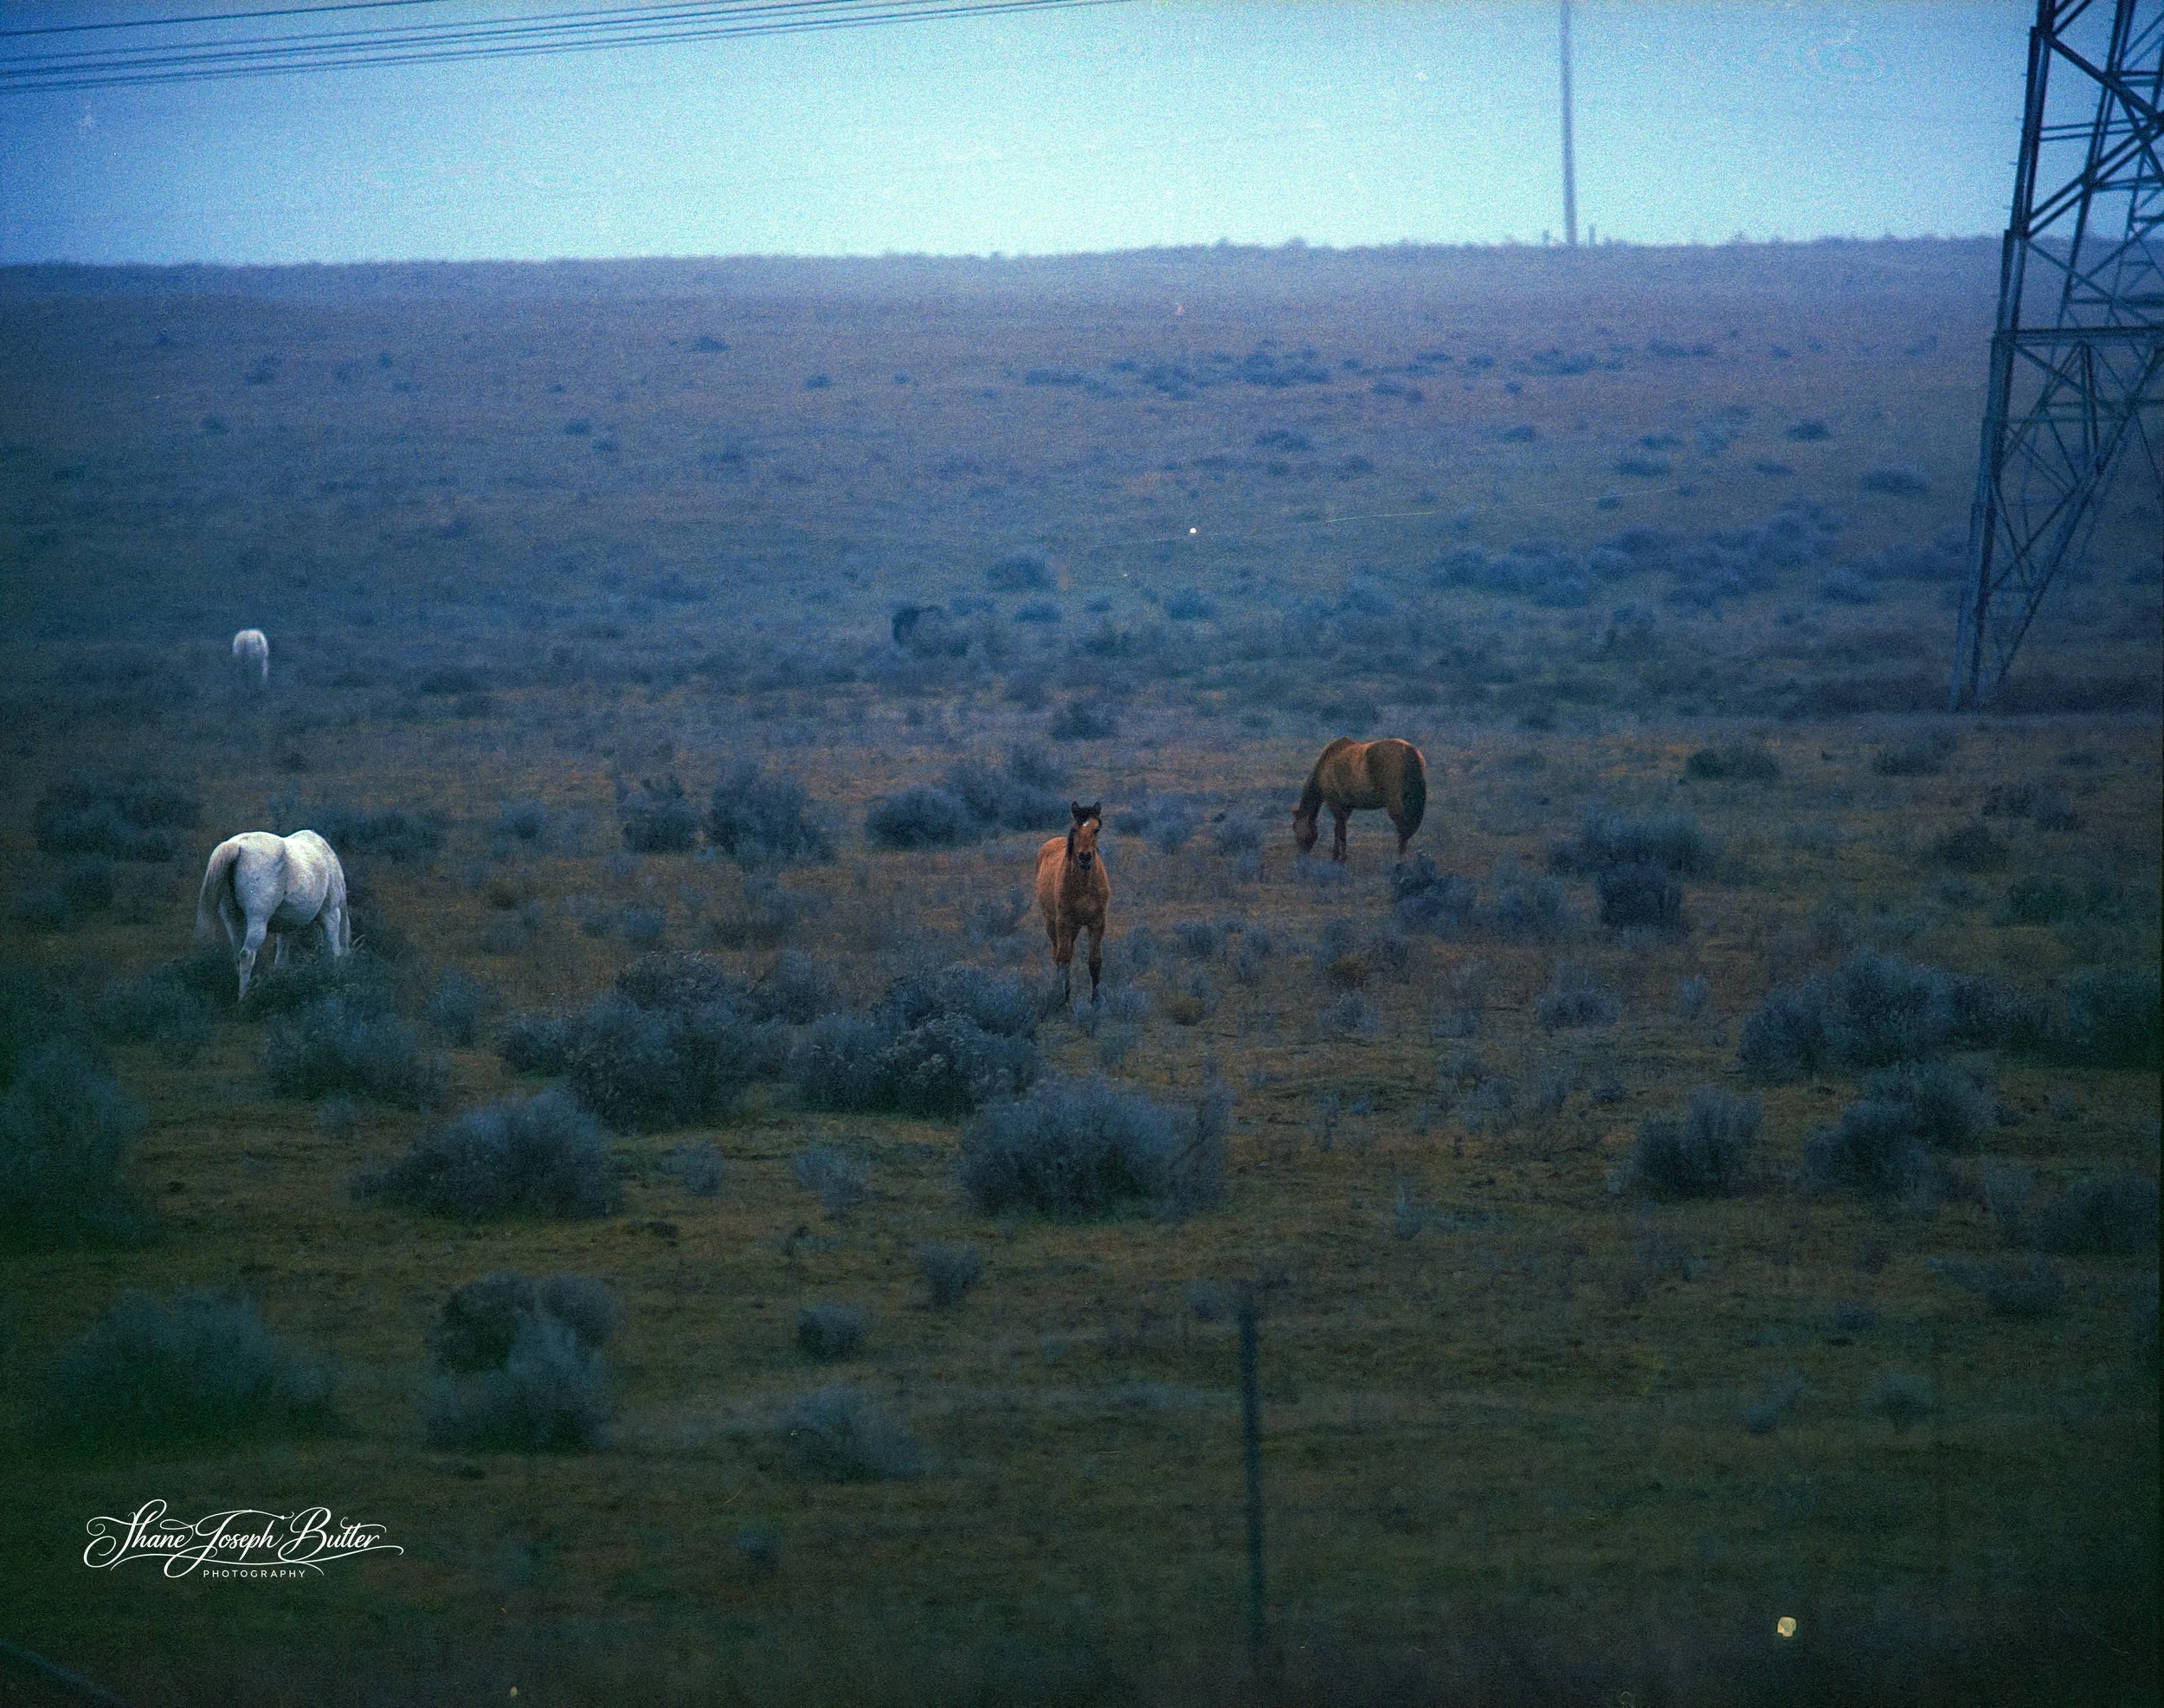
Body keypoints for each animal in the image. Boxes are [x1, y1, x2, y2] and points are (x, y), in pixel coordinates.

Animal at [195, 830, 350, 1001]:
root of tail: (236, 845)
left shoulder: (286, 928)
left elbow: (281, 958)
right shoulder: (331, 913)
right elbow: (335, 947)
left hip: (232, 919)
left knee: (237, 955)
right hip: (258, 919)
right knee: (247, 955)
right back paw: (243, 998)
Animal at [1036, 801, 1110, 1005]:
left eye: (1096, 829)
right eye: (1075, 829)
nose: (1085, 857)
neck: (1084, 887)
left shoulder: (1097, 922)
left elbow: (1095, 960)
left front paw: (1095, 1001)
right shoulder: (1064, 922)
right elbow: (1064, 958)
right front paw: (1066, 999)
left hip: (1075, 927)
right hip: (1052, 924)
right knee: (1057, 955)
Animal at [1293, 736, 1428, 861]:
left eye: (1294, 827)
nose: (1301, 855)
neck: (1325, 766)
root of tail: (1409, 751)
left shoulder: (1336, 804)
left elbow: (1340, 830)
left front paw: (1338, 856)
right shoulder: (1345, 807)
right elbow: (1340, 829)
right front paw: (1339, 855)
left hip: (1396, 805)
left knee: (1402, 829)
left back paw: (1399, 860)